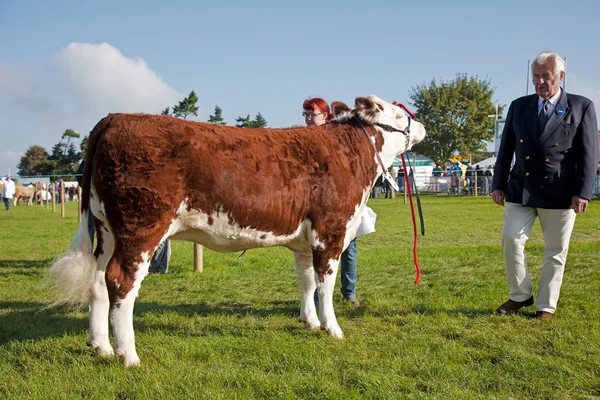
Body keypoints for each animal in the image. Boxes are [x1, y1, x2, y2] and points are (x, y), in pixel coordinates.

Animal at [51, 94, 426, 366]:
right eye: (398, 114)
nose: (421, 125)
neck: (351, 156)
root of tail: (116, 117)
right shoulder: (330, 231)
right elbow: (325, 285)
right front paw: (332, 328)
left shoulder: (305, 241)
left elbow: (306, 281)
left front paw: (309, 321)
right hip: (141, 227)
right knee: (121, 282)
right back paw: (128, 355)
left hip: (107, 229)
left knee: (98, 280)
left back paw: (100, 345)